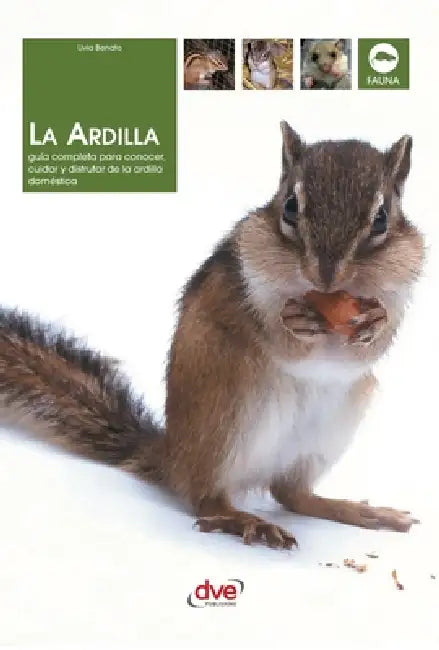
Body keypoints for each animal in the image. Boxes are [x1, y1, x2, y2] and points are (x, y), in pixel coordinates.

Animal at [0, 122, 424, 550]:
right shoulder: (247, 283)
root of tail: (173, 457)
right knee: (206, 498)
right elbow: (277, 335)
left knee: (291, 493)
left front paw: (375, 321)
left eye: (381, 219)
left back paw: (359, 511)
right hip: (227, 415)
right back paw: (243, 519)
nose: (325, 276)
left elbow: (375, 342)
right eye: (290, 207)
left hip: (329, 429)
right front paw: (292, 319)